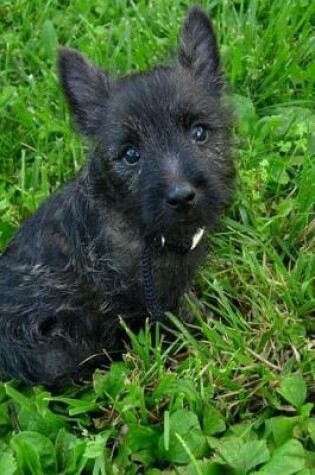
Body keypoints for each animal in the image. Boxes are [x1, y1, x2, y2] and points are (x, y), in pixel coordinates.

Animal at [0, 6, 235, 386]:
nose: (181, 197)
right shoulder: (152, 299)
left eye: (199, 132)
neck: (139, 224)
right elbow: (186, 316)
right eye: (130, 154)